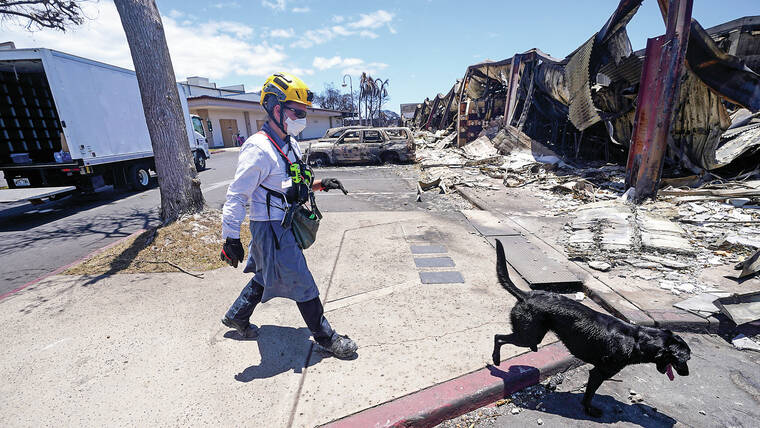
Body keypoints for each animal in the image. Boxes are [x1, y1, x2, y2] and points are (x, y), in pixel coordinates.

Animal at [490, 241, 692, 418]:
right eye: (686, 358)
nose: (687, 374)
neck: (637, 340)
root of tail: (526, 295)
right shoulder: (599, 373)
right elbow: (589, 395)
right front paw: (589, 410)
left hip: (531, 336)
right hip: (528, 336)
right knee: (498, 336)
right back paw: (496, 359)